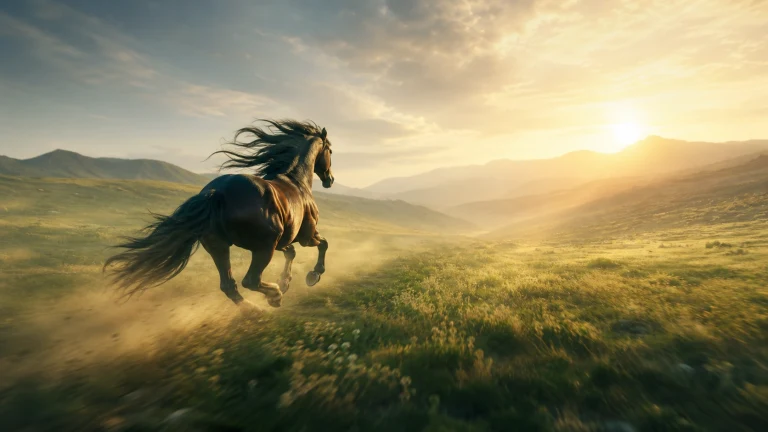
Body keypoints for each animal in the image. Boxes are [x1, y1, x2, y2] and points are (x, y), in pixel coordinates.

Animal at [103, 119, 334, 311]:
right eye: (330, 150)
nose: (330, 180)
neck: (296, 180)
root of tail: (216, 194)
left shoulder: (282, 241)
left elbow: (291, 253)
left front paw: (285, 282)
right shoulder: (305, 236)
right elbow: (323, 244)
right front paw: (313, 275)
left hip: (219, 246)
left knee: (228, 285)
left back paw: (254, 309)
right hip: (262, 248)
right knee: (250, 280)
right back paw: (274, 298)